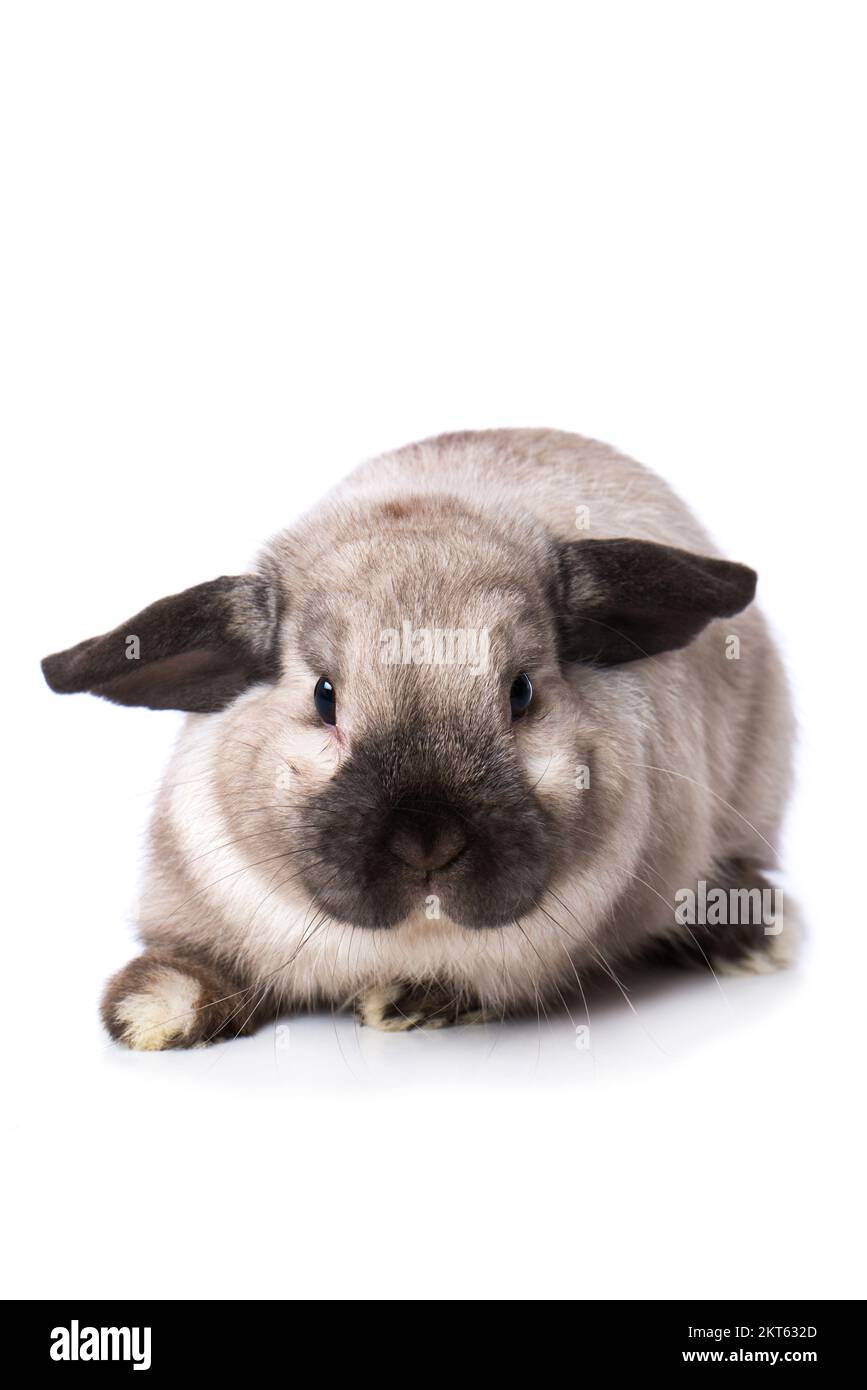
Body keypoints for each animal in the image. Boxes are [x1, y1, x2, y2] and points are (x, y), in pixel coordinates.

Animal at [42, 429, 795, 1047]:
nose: (427, 841)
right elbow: (190, 965)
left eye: (522, 692)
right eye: (324, 697)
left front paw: (403, 1004)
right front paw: (151, 1011)